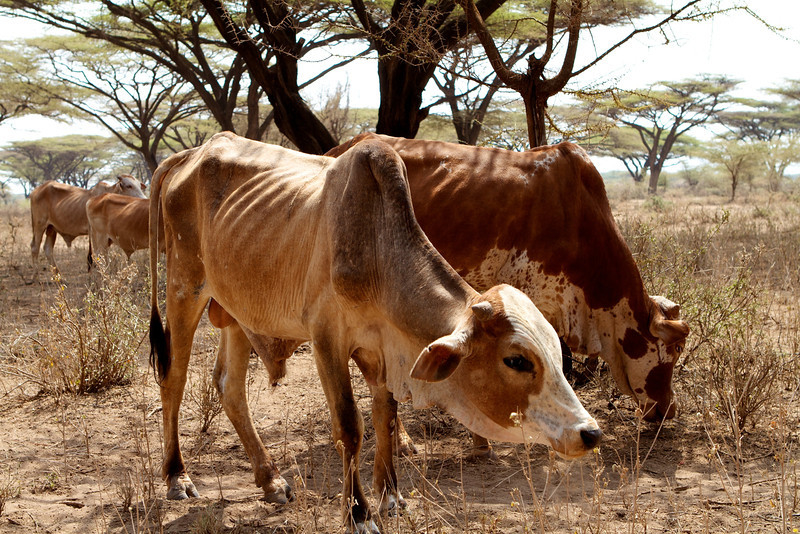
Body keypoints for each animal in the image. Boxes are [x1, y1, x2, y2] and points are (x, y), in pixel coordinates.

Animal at [148, 132, 601, 533]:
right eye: (516, 360)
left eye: (557, 354)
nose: (589, 433)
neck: (378, 250)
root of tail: (190, 154)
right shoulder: (327, 340)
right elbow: (351, 427)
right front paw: (359, 513)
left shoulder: (381, 347)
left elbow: (386, 417)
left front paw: (392, 497)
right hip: (184, 287)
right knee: (173, 377)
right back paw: (177, 477)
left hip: (238, 310)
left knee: (229, 386)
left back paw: (271, 479)